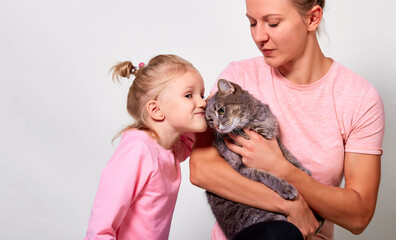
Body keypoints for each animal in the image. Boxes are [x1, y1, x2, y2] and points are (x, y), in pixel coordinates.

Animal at [206, 79, 314, 240]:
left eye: (221, 110)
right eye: (210, 120)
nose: (217, 126)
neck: (252, 123)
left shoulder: (274, 139)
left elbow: (288, 155)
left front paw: (303, 171)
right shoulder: (241, 167)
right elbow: (266, 175)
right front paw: (285, 188)